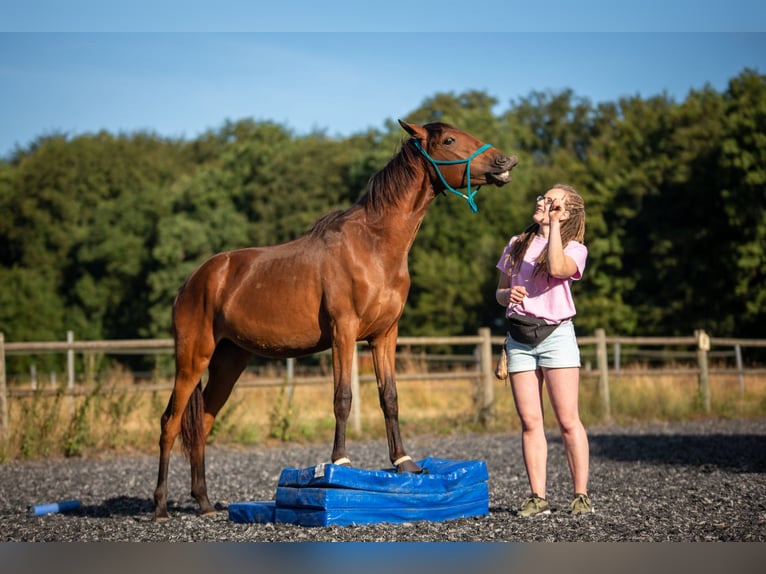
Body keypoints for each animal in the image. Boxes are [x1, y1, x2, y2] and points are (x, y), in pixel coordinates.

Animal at [153, 119, 520, 520]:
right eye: (450, 139)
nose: (505, 161)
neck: (374, 246)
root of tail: (193, 281)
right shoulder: (343, 332)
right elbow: (342, 397)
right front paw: (340, 462)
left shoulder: (385, 335)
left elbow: (389, 397)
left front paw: (404, 463)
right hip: (193, 357)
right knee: (171, 422)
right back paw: (160, 506)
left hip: (229, 360)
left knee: (202, 423)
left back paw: (204, 503)